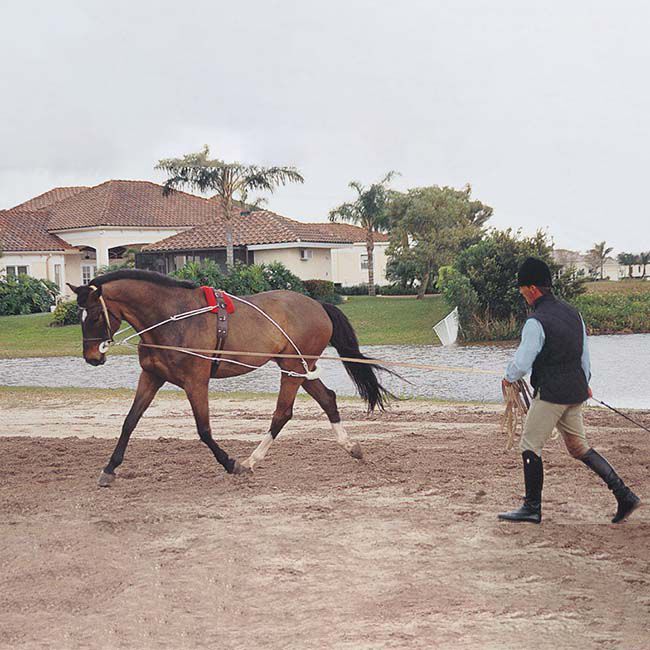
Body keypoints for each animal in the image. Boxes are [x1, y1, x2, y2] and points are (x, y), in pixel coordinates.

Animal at [68, 269, 393, 486]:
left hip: (292, 369)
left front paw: (230, 463)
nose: (92, 357)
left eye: (94, 316)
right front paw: (109, 469)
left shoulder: (196, 382)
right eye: (80, 317)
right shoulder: (151, 377)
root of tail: (318, 305)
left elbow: (204, 430)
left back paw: (251, 460)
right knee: (328, 400)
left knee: (282, 413)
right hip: (298, 368)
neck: (172, 318)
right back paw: (351, 447)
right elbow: (130, 422)